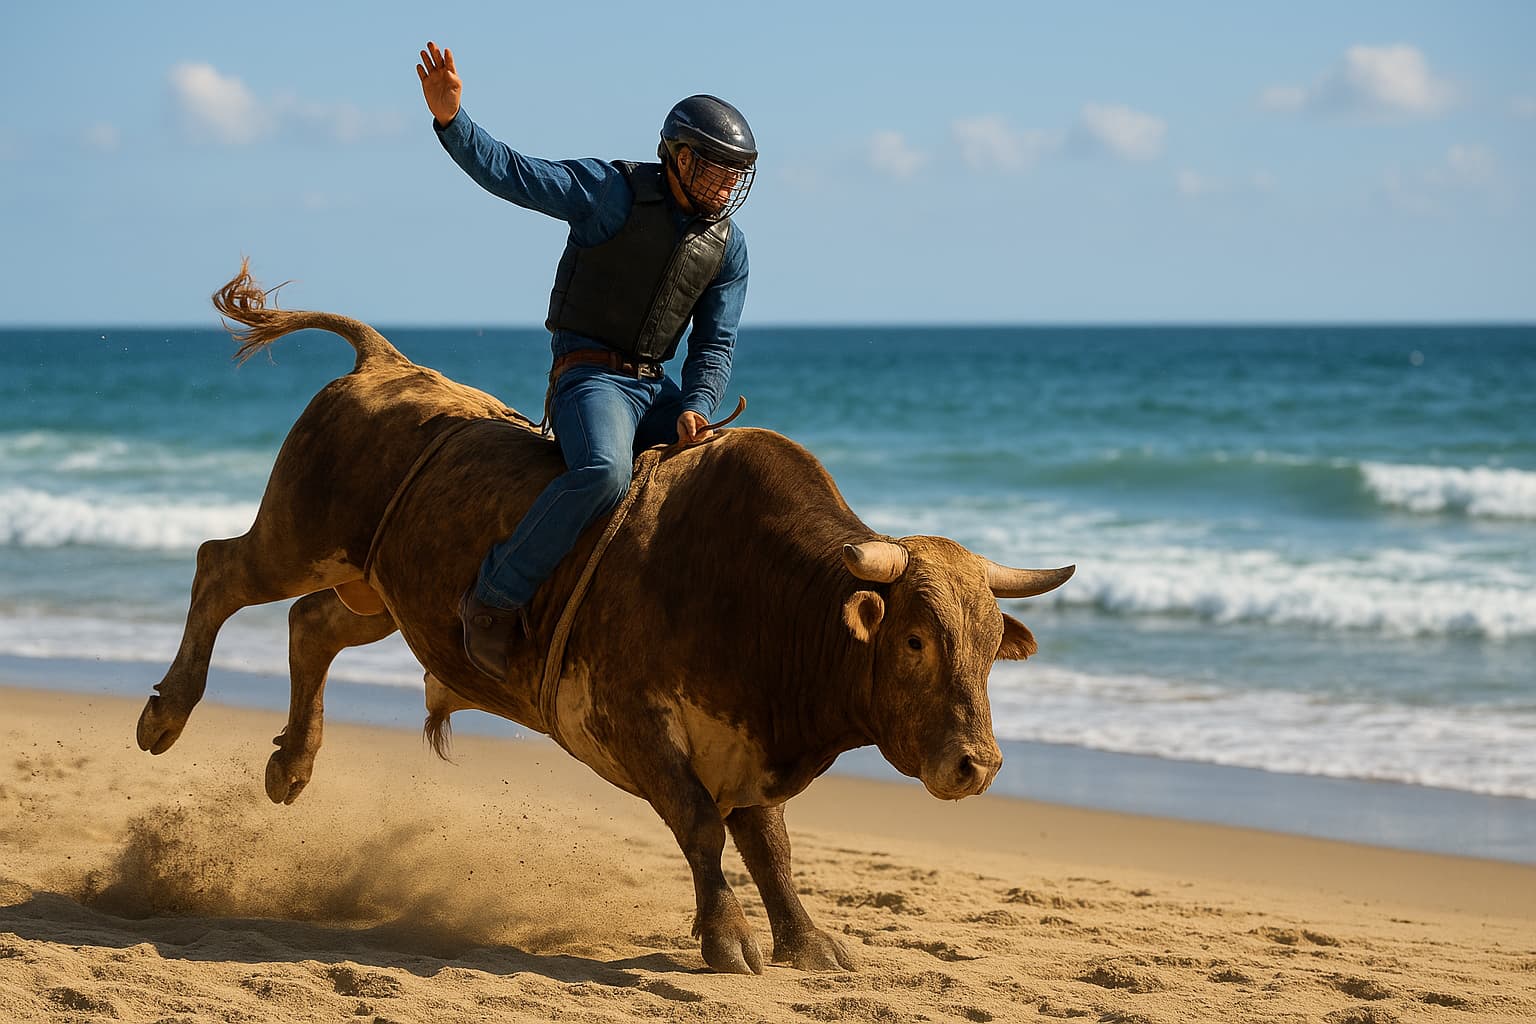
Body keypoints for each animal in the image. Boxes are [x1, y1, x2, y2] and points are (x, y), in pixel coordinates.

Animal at [136, 262, 1075, 974]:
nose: (977, 764)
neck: (769, 594)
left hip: (382, 595)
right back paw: (165, 716)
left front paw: (807, 942)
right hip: (297, 535)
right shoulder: (634, 723)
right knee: (220, 569)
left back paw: (291, 766)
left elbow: (769, 846)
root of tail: (385, 362)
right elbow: (702, 826)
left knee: (313, 626)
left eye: (990, 648)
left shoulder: (744, 750)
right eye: (915, 639)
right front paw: (729, 941)